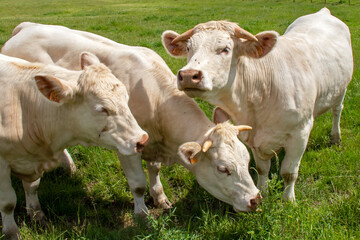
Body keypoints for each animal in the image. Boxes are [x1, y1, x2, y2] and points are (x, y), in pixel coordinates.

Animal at [0, 53, 148, 240]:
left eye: (126, 99)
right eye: (102, 109)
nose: (142, 139)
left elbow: (32, 187)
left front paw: (36, 214)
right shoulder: (3, 165)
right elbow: (7, 203)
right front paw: (11, 233)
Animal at [2, 22, 262, 219]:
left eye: (247, 159)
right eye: (223, 168)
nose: (255, 199)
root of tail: (25, 27)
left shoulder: (152, 143)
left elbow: (154, 171)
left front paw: (160, 197)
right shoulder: (127, 146)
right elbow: (137, 183)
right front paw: (142, 214)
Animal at [162, 7, 352, 201]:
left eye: (225, 49)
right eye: (188, 48)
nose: (188, 75)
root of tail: (323, 12)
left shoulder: (301, 131)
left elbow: (289, 172)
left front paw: (288, 200)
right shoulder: (253, 138)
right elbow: (262, 168)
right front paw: (263, 190)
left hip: (341, 88)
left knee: (337, 111)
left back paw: (335, 137)